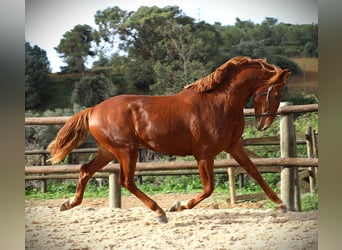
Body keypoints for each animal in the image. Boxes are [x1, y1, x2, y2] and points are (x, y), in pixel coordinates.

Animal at [46, 56, 290, 223]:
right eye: (276, 93)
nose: (263, 124)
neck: (219, 103)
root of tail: (94, 109)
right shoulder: (204, 155)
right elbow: (208, 188)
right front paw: (178, 205)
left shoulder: (233, 146)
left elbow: (255, 171)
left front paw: (281, 205)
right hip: (126, 151)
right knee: (126, 181)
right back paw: (160, 212)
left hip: (108, 151)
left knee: (85, 170)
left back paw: (68, 203)